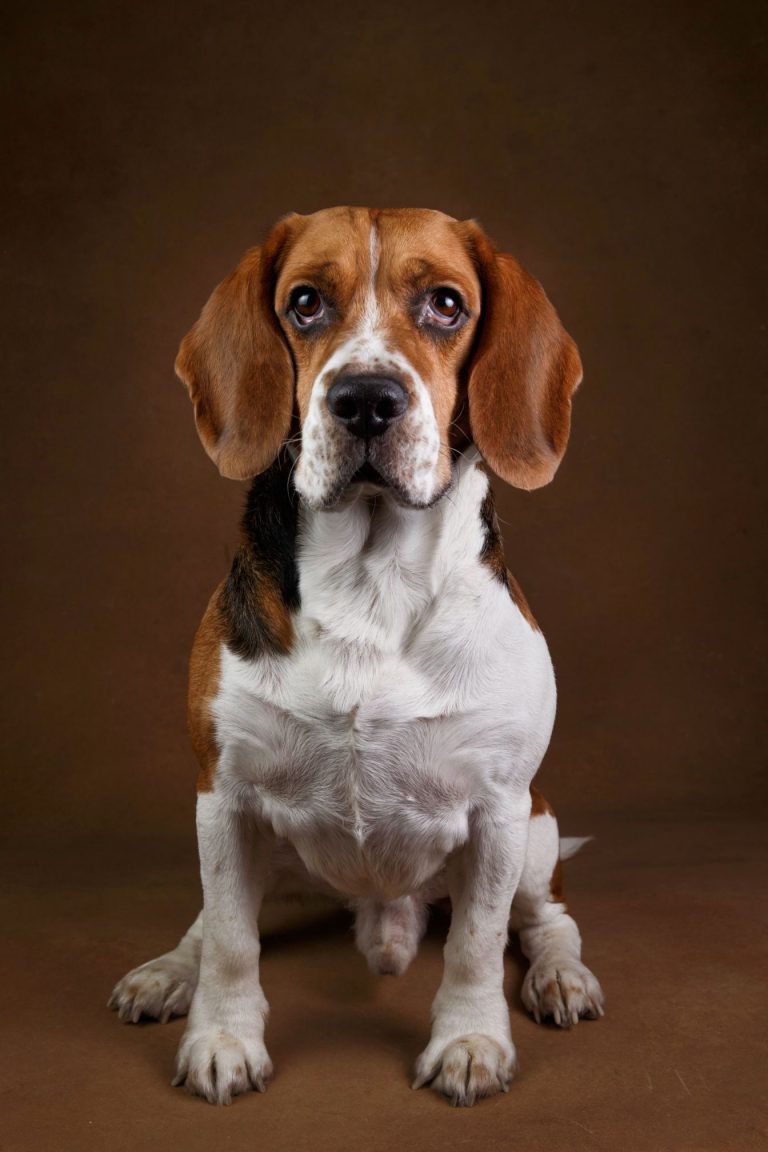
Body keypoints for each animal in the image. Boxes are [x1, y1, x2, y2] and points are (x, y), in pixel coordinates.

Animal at [108, 207, 603, 1105]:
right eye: (305, 303)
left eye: (446, 304)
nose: (366, 400)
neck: (373, 581)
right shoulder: (224, 798)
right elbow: (230, 939)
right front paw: (223, 1038)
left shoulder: (498, 810)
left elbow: (477, 944)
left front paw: (470, 1041)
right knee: (209, 921)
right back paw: (170, 972)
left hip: (537, 831)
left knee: (545, 918)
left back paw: (559, 975)